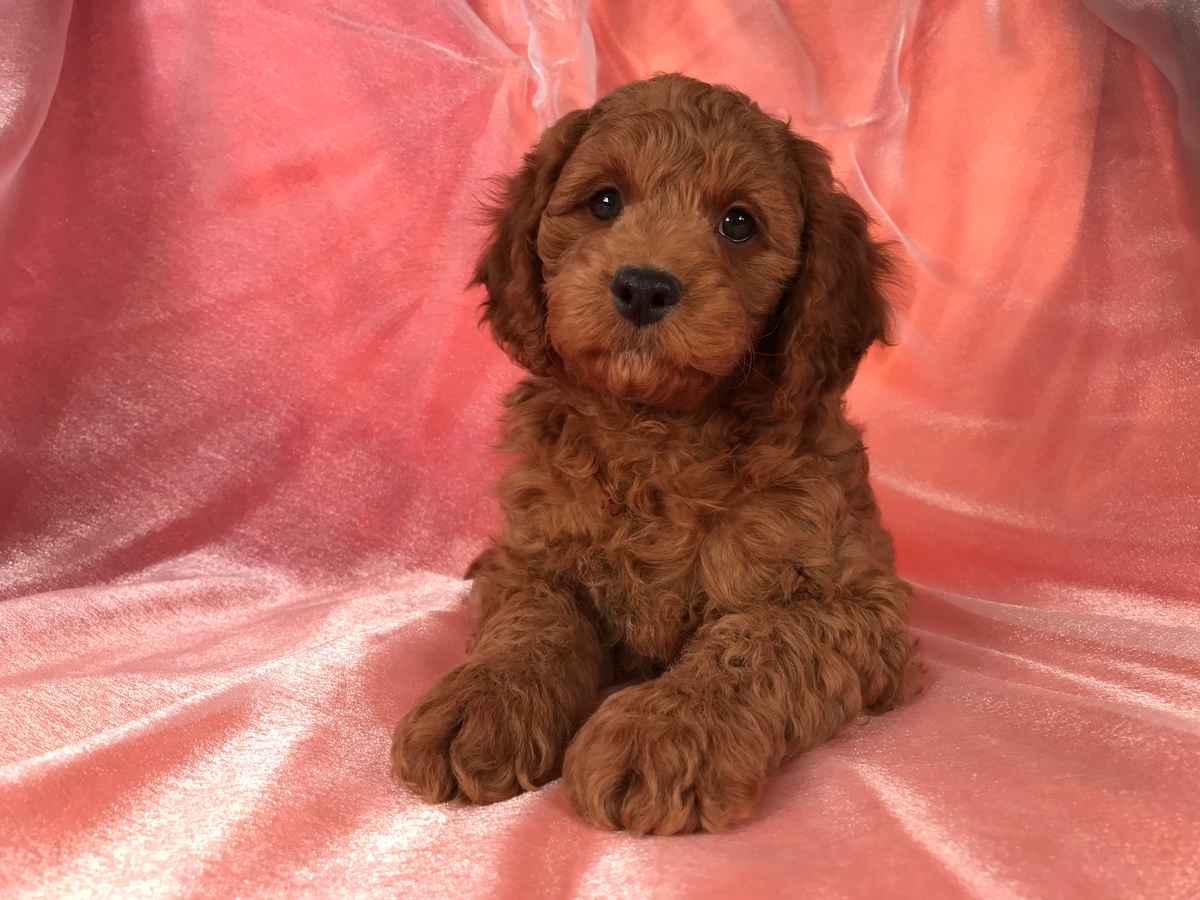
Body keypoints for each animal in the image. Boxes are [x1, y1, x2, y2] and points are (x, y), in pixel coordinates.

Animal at [388, 74, 912, 835]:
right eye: (604, 201)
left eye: (739, 223)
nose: (643, 286)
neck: (658, 432)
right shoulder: (527, 560)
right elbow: (532, 625)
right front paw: (482, 702)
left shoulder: (858, 605)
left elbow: (755, 641)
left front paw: (662, 733)